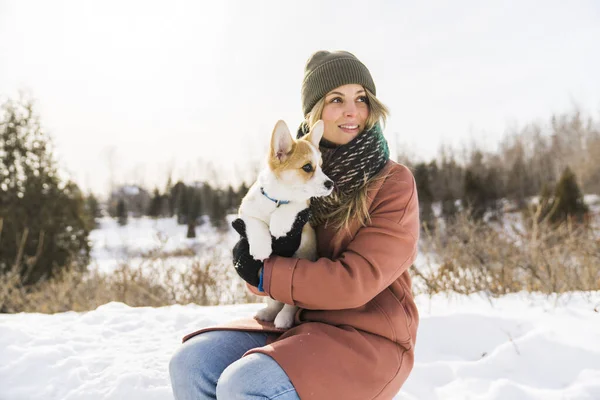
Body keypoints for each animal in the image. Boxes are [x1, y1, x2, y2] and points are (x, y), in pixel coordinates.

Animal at [238, 119, 332, 328]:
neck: (277, 200)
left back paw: (283, 318)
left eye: (321, 166)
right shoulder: (245, 211)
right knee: (273, 301)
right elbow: (255, 225)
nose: (331, 184)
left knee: (289, 303)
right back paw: (268, 313)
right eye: (307, 167)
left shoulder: (303, 212)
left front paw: (279, 225)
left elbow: (293, 205)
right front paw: (261, 248)